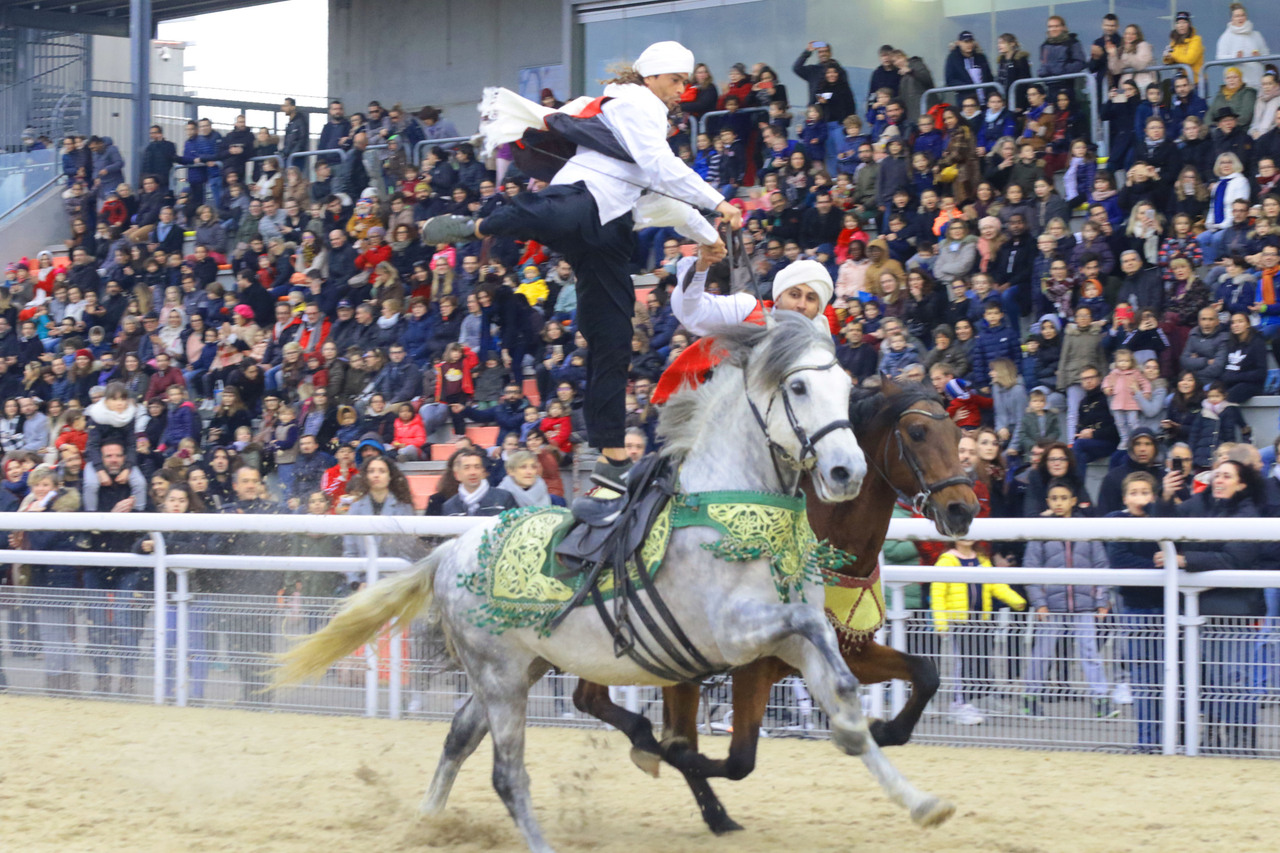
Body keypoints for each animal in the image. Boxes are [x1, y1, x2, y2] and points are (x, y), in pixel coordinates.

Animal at [568, 379, 967, 829]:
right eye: (917, 433)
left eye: (958, 434)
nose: (963, 508)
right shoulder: (754, 664)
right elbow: (738, 758)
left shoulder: (850, 649)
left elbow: (926, 673)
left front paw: (882, 730)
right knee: (599, 702)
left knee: (598, 700)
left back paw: (711, 809)